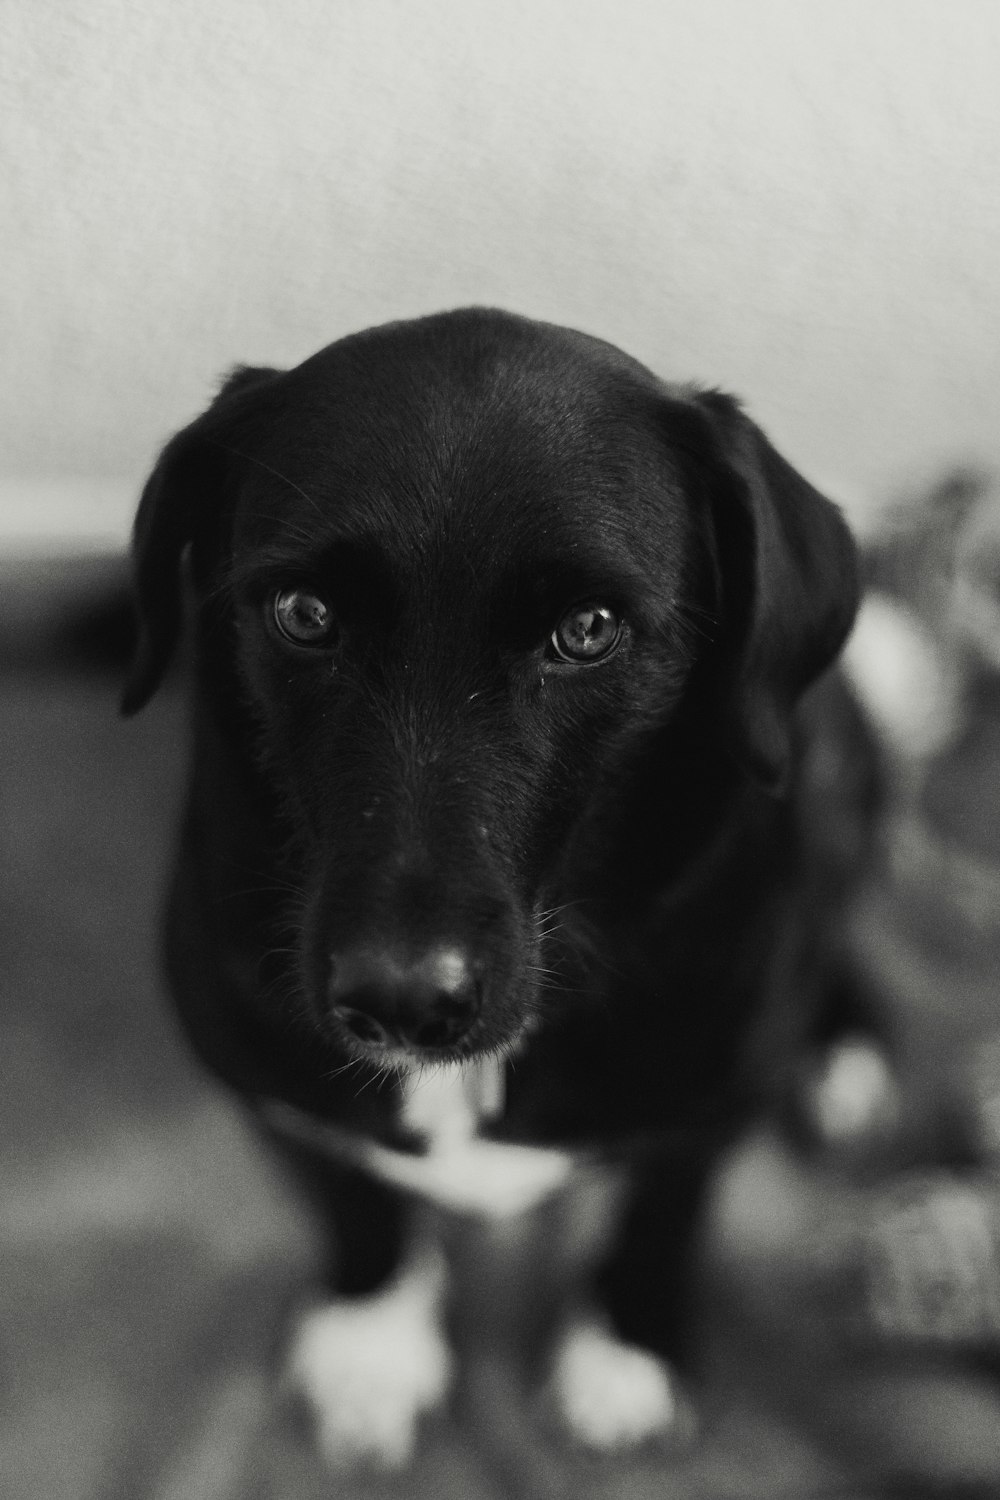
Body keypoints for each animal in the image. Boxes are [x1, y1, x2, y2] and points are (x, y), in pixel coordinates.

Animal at [122, 304, 875, 1464]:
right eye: (303, 612)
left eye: (589, 629)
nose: (398, 1002)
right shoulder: (267, 1084)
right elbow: (352, 1199)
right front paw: (373, 1340)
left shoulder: (712, 1100)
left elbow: (664, 1212)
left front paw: (626, 1350)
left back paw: (845, 1051)